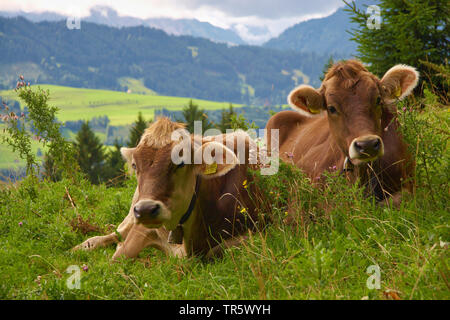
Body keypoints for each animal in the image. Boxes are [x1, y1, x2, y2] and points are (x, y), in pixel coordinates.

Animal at [73, 117, 264, 260]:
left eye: (181, 163)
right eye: (134, 165)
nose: (146, 209)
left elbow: (219, 249)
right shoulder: (141, 227)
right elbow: (119, 256)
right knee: (111, 235)